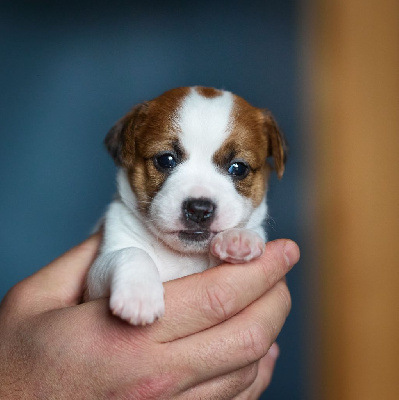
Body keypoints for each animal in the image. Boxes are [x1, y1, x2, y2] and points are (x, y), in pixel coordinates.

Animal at [87, 86, 288, 324]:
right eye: (165, 160)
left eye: (238, 168)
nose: (199, 209)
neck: (183, 256)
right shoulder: (92, 284)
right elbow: (131, 253)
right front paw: (139, 294)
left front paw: (238, 237)